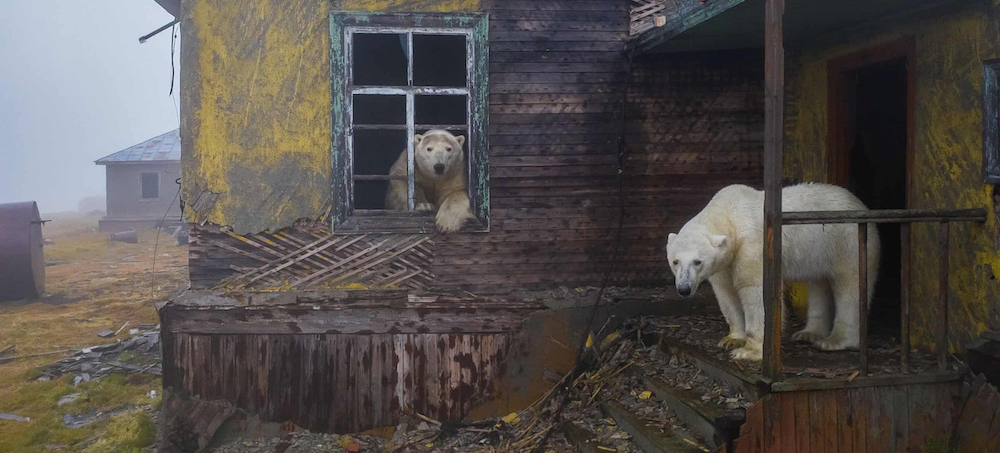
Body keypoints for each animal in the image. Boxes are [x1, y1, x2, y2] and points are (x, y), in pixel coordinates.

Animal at [668, 183, 880, 360]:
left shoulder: (752, 246)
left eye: (697, 261)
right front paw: (732, 339)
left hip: (846, 242)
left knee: (850, 286)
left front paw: (748, 351)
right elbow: (726, 292)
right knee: (818, 284)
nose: (684, 289)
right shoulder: (724, 262)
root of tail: (861, 205)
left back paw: (834, 341)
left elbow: (755, 291)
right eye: (675, 261)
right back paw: (808, 333)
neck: (729, 214)